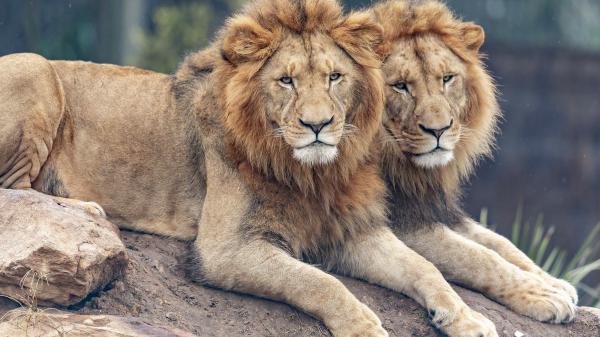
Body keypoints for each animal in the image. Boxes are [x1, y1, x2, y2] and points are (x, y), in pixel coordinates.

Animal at [372, 0, 580, 326]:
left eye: (447, 79)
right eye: (400, 86)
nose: (438, 130)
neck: (409, 168)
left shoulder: (436, 208)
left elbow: (501, 243)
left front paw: (553, 281)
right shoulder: (403, 222)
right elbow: (481, 257)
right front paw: (544, 296)